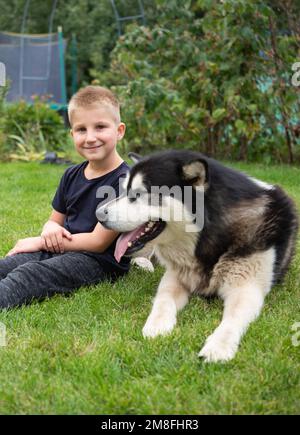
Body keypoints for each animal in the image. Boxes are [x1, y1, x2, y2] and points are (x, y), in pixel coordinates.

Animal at [96, 152, 298, 362]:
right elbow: (163, 300)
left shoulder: (246, 288)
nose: (98, 214)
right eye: (124, 191)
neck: (204, 239)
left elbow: (233, 318)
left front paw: (218, 346)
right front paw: (156, 325)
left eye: (137, 194)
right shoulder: (174, 276)